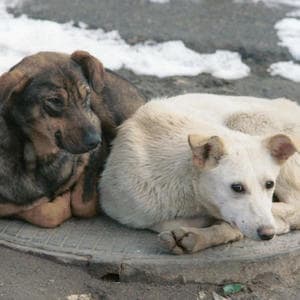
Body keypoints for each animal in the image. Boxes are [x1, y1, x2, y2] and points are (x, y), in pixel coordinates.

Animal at [0, 49, 146, 227]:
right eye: (54, 100)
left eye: (86, 94)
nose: (95, 141)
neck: (40, 156)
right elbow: (39, 212)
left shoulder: (93, 143)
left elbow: (80, 205)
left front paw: (64, 198)